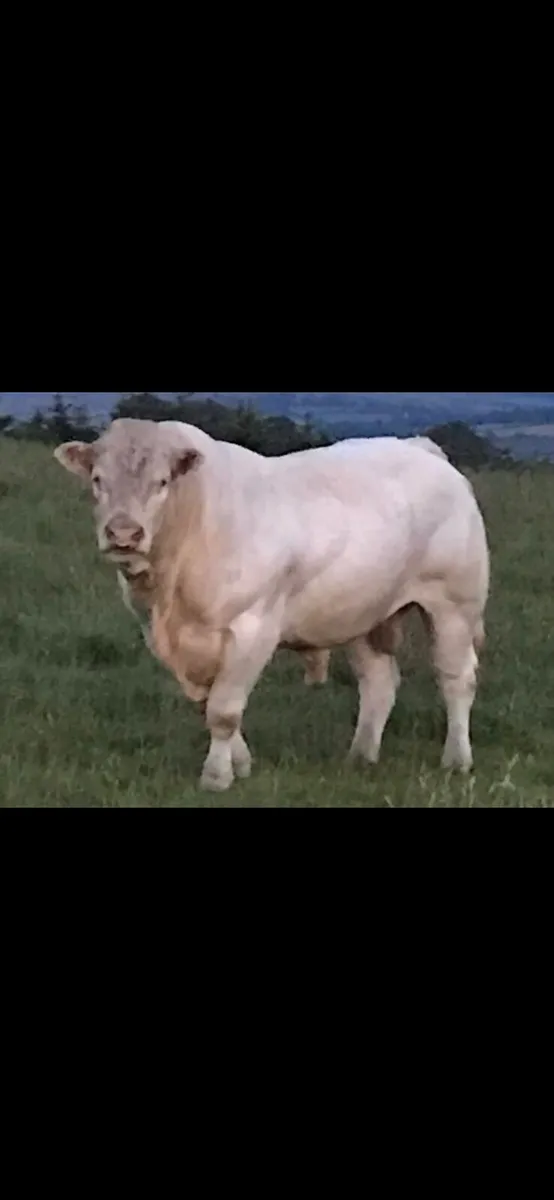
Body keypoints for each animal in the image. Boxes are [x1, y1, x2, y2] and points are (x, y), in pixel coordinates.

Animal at [54, 420, 489, 793]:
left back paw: (456, 759)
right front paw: (241, 764)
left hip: (454, 604)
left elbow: (224, 710)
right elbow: (211, 704)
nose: (123, 534)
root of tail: (420, 448)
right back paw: (361, 756)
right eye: (98, 480)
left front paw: (216, 777)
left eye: (161, 482)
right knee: (379, 681)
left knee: (456, 677)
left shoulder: (252, 628)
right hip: (362, 612)